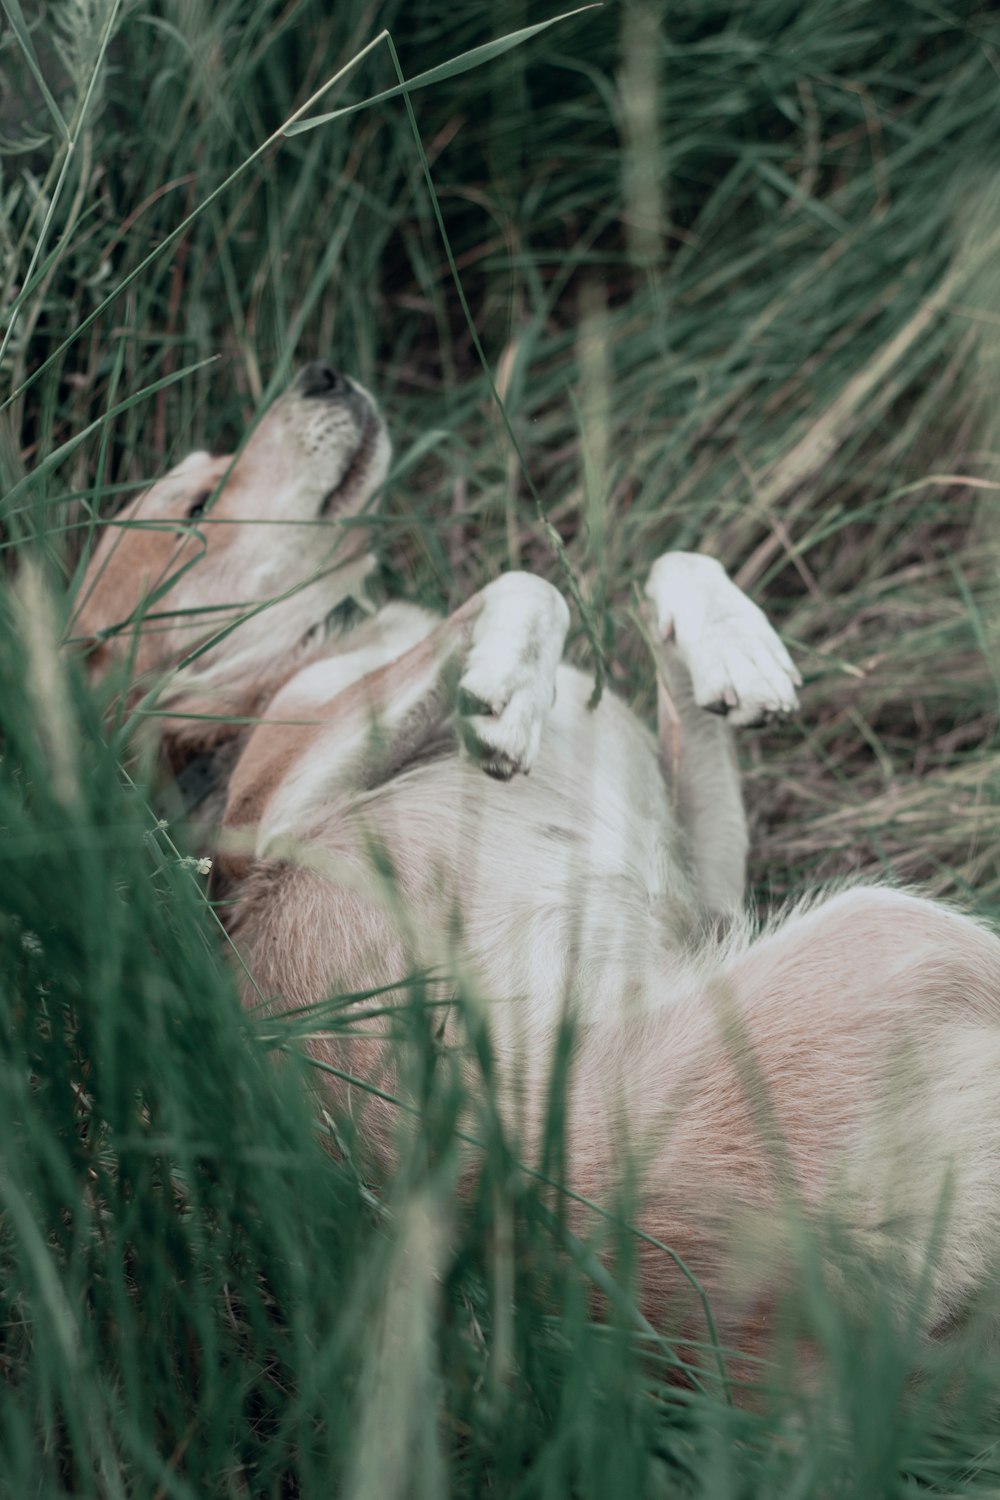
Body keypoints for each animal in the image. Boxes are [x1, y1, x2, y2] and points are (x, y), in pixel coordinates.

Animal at [78, 363, 1000, 1374]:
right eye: (196, 506)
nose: (321, 373)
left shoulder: (709, 892)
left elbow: (668, 568)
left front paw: (733, 642)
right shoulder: (269, 819)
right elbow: (527, 583)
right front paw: (508, 688)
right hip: (900, 927)